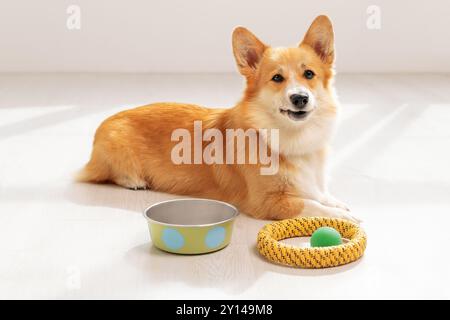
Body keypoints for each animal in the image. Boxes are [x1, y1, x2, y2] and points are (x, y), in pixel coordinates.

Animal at [78, 13, 358, 221]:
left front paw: (337, 203)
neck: (291, 137)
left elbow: (320, 196)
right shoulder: (269, 202)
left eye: (309, 74)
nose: (300, 98)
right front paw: (344, 217)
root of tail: (106, 122)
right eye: (277, 78)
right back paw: (134, 181)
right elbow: (310, 205)